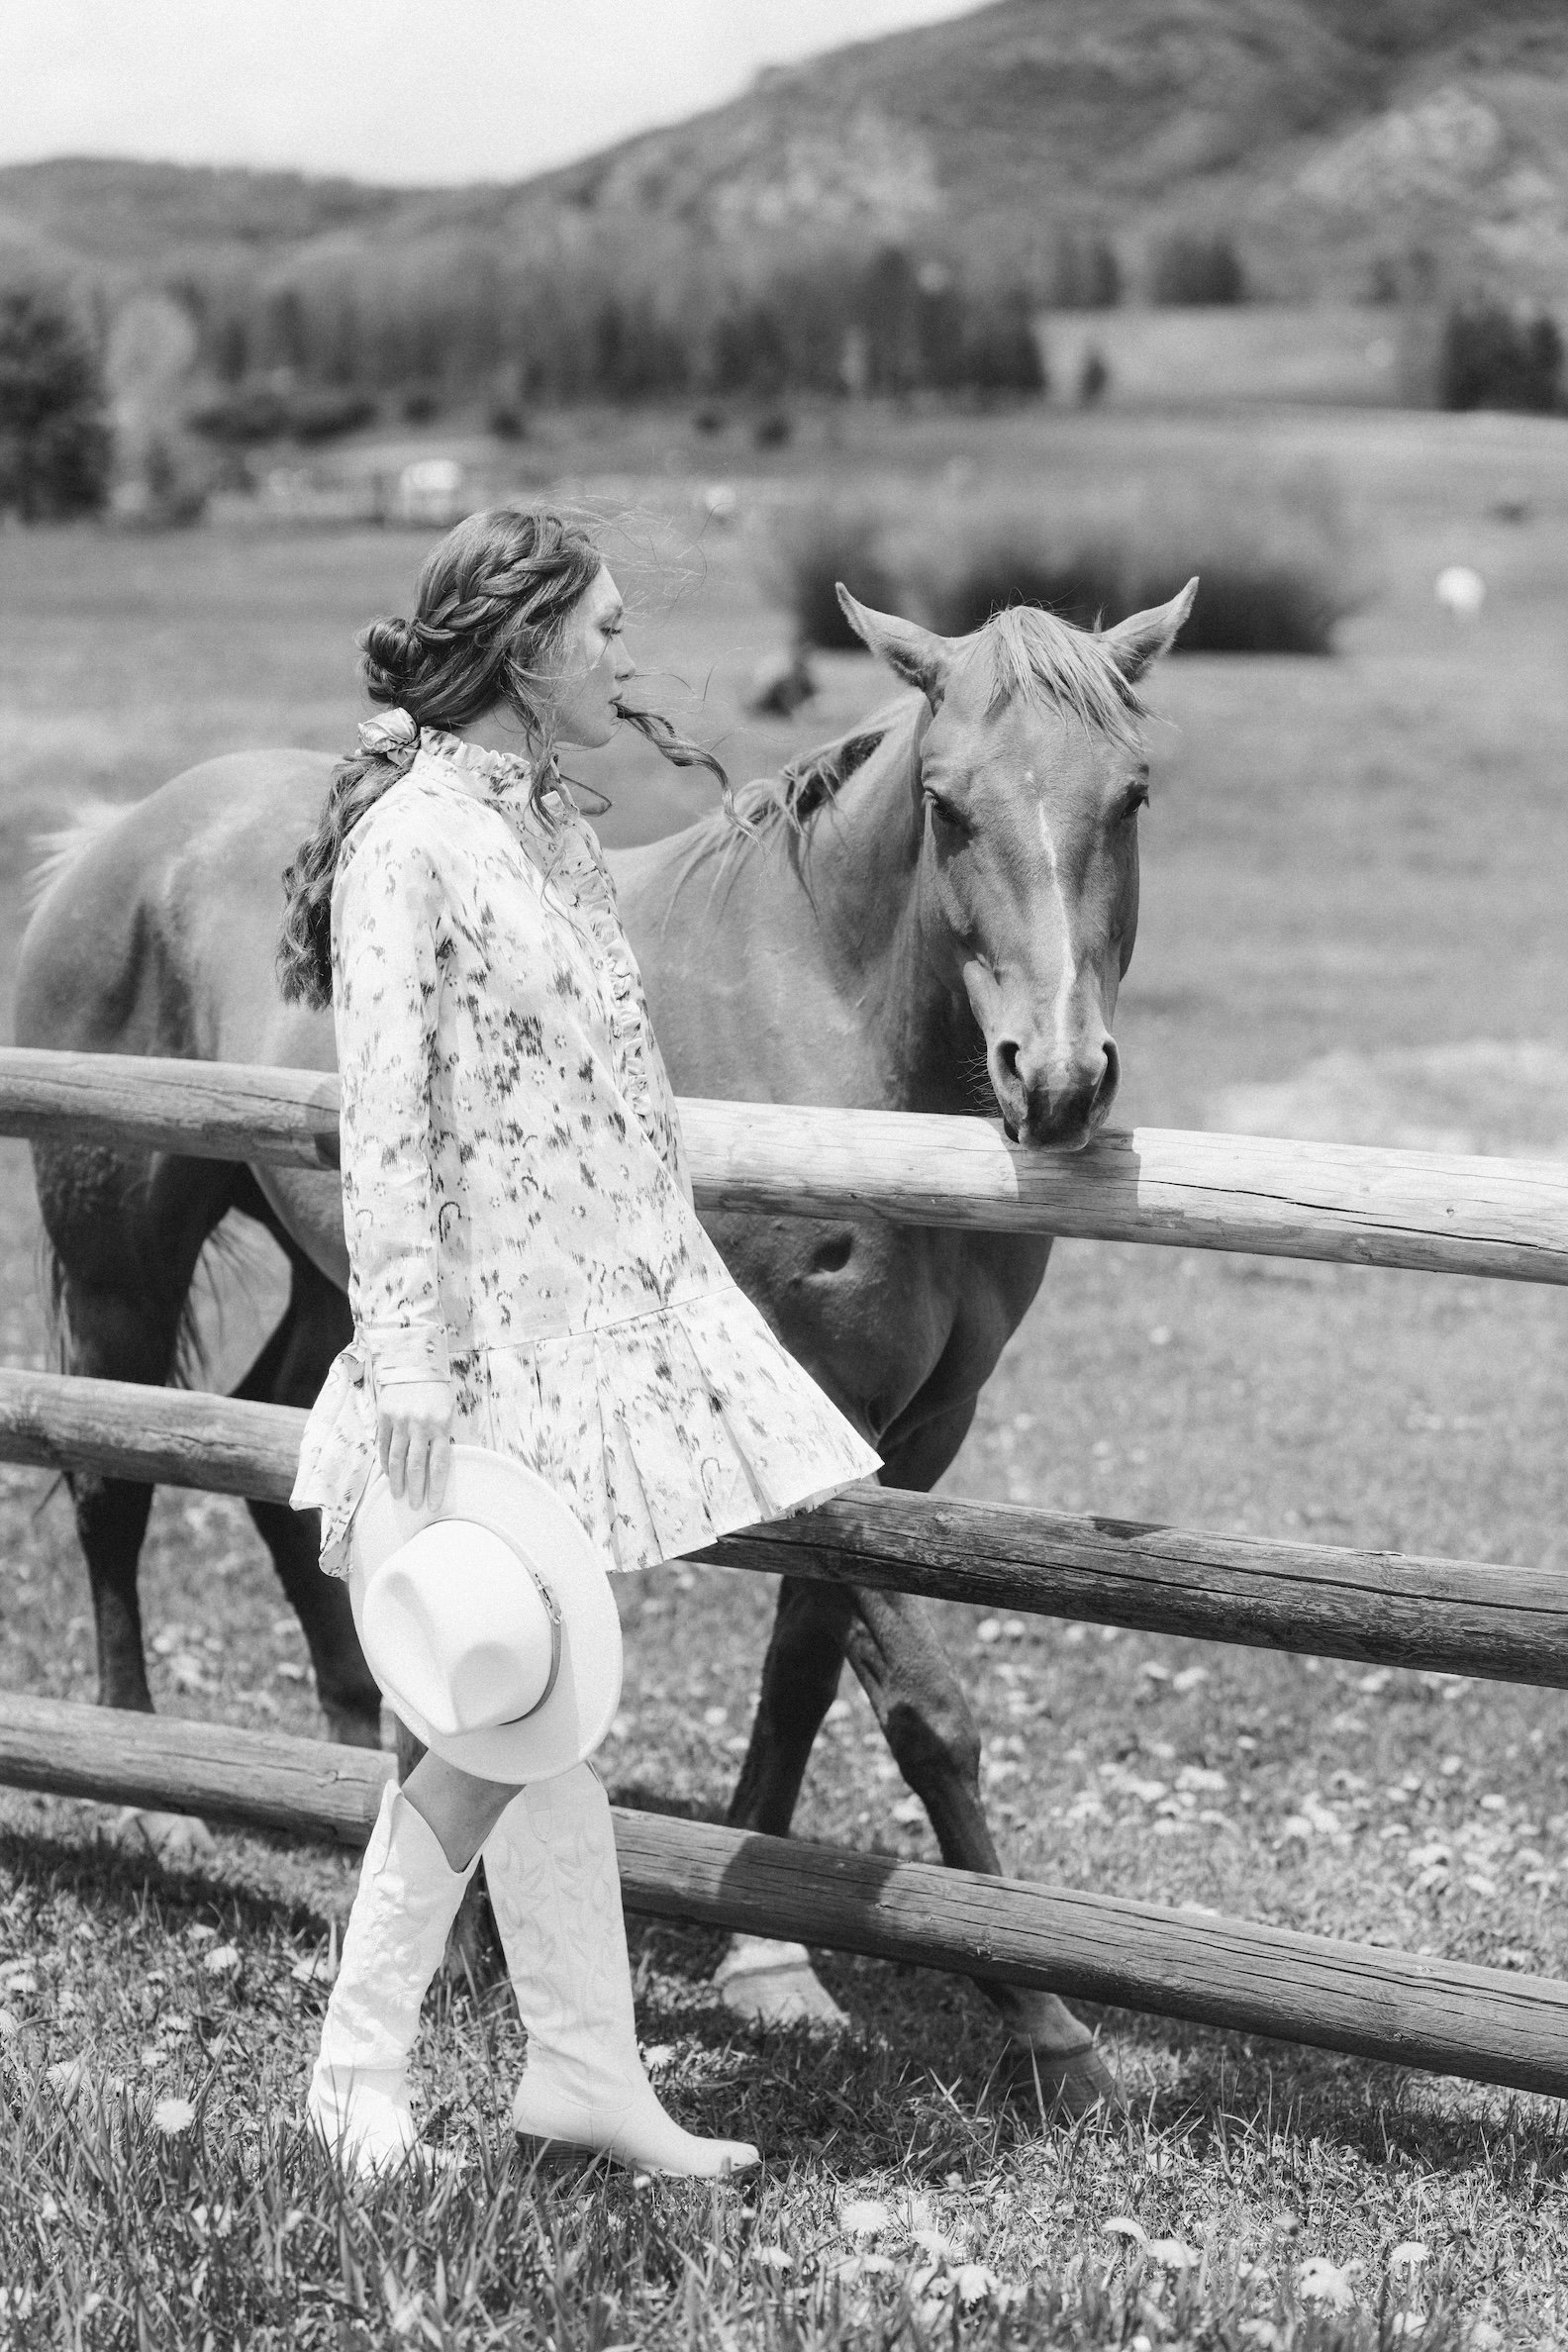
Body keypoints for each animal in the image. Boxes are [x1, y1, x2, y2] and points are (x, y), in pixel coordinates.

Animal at [15, 579, 1194, 2114]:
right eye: (947, 804)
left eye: (1133, 792)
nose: (1054, 1081)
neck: (837, 1025)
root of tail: (117, 836)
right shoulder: (815, 1412)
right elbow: (927, 1707)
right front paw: (1047, 2023)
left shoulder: (917, 1435)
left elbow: (804, 1674)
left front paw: (769, 1962)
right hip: (121, 1263)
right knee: (115, 1489)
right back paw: (162, 1810)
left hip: (355, 1288)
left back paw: (373, 1778)